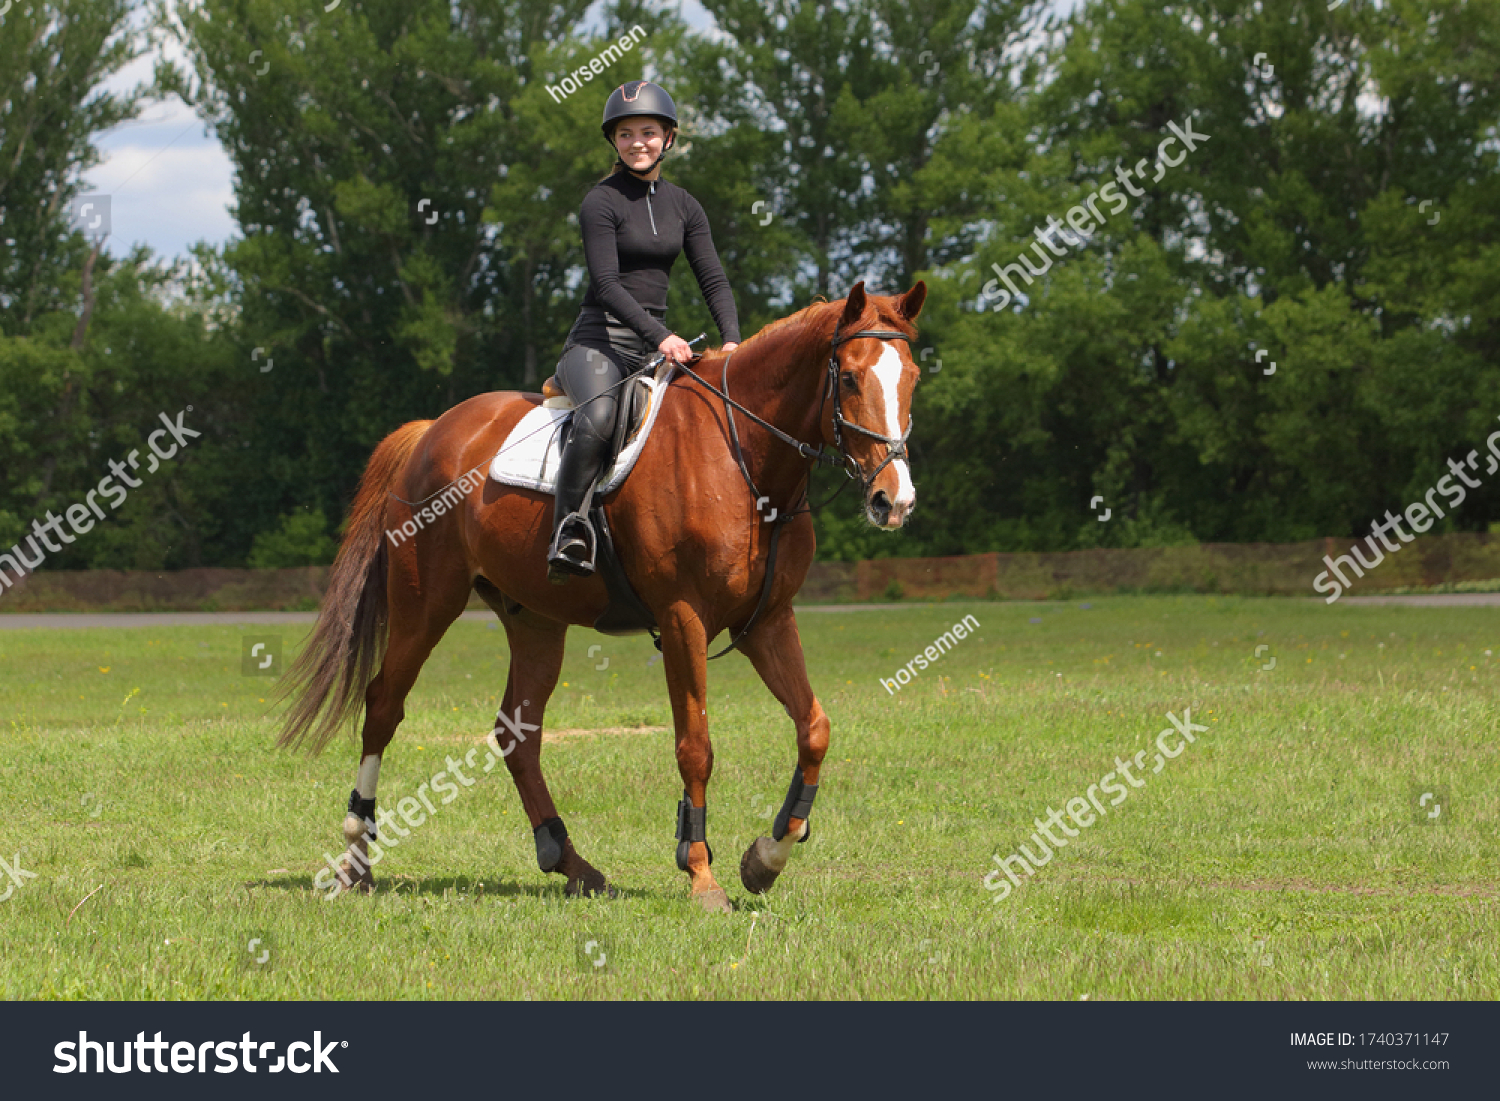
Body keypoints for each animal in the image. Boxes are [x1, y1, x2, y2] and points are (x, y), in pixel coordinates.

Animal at [276, 279, 925, 911]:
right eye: (849, 378)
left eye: (913, 377)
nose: (893, 500)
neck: (745, 461)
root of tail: (430, 433)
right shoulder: (683, 619)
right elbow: (695, 746)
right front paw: (701, 875)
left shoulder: (768, 620)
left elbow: (814, 727)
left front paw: (765, 858)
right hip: (424, 606)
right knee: (384, 705)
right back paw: (357, 859)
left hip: (535, 621)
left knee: (517, 736)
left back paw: (570, 864)